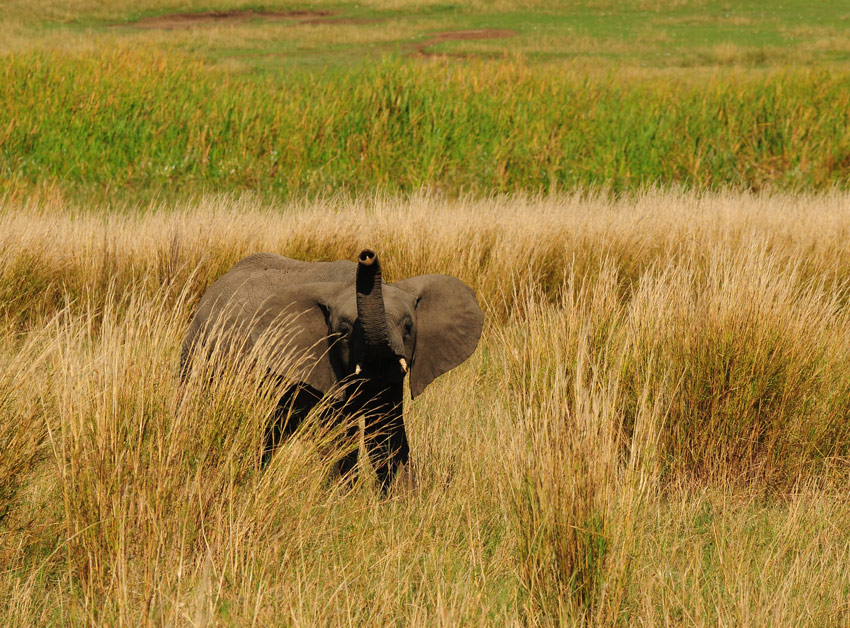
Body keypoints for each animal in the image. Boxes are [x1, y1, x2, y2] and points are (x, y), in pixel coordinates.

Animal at [181, 249, 480, 490]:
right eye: (343, 332)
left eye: (408, 327)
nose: (367, 255)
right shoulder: (320, 364)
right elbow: (340, 434)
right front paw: (343, 501)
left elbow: (385, 431)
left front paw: (402, 503)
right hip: (198, 353)